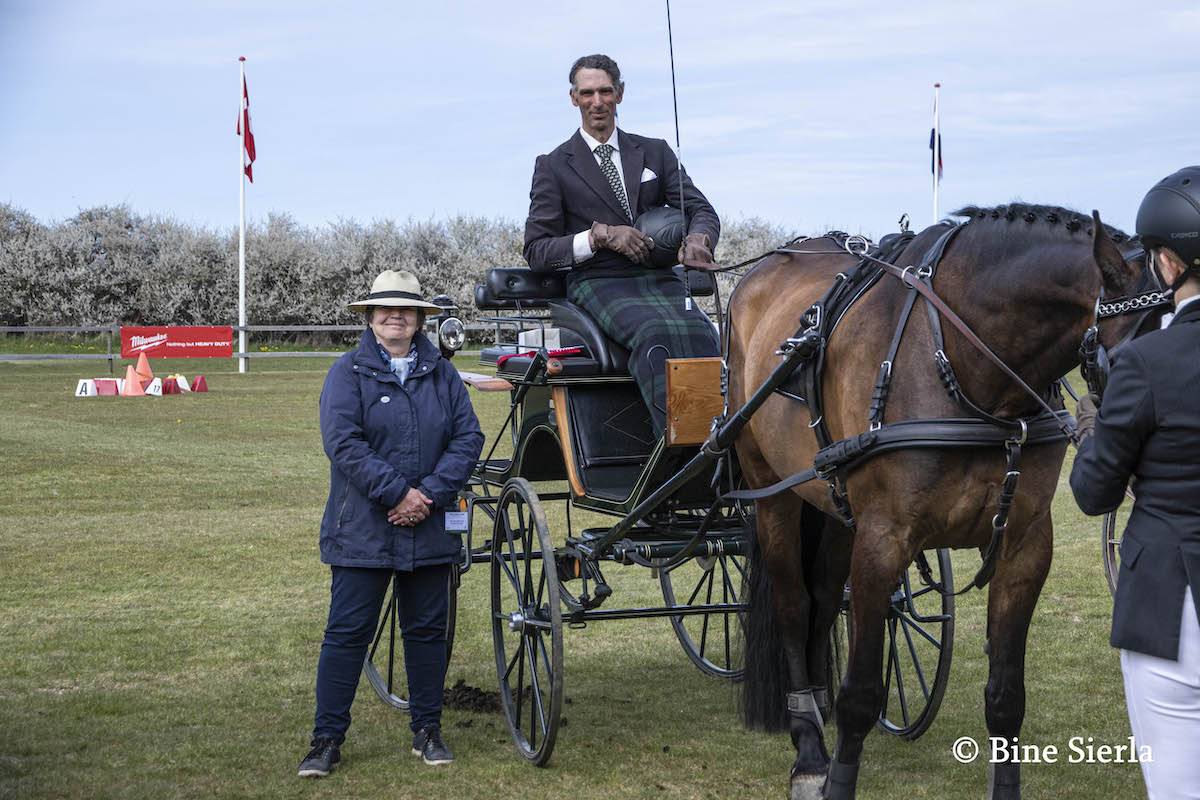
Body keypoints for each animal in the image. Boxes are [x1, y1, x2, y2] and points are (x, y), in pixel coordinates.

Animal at [728, 205, 1146, 800]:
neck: (967, 368)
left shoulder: (1025, 547)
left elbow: (1005, 697)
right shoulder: (884, 541)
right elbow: (862, 695)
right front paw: (834, 773)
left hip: (834, 506)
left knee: (824, 598)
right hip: (775, 494)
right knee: (793, 604)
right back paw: (809, 746)